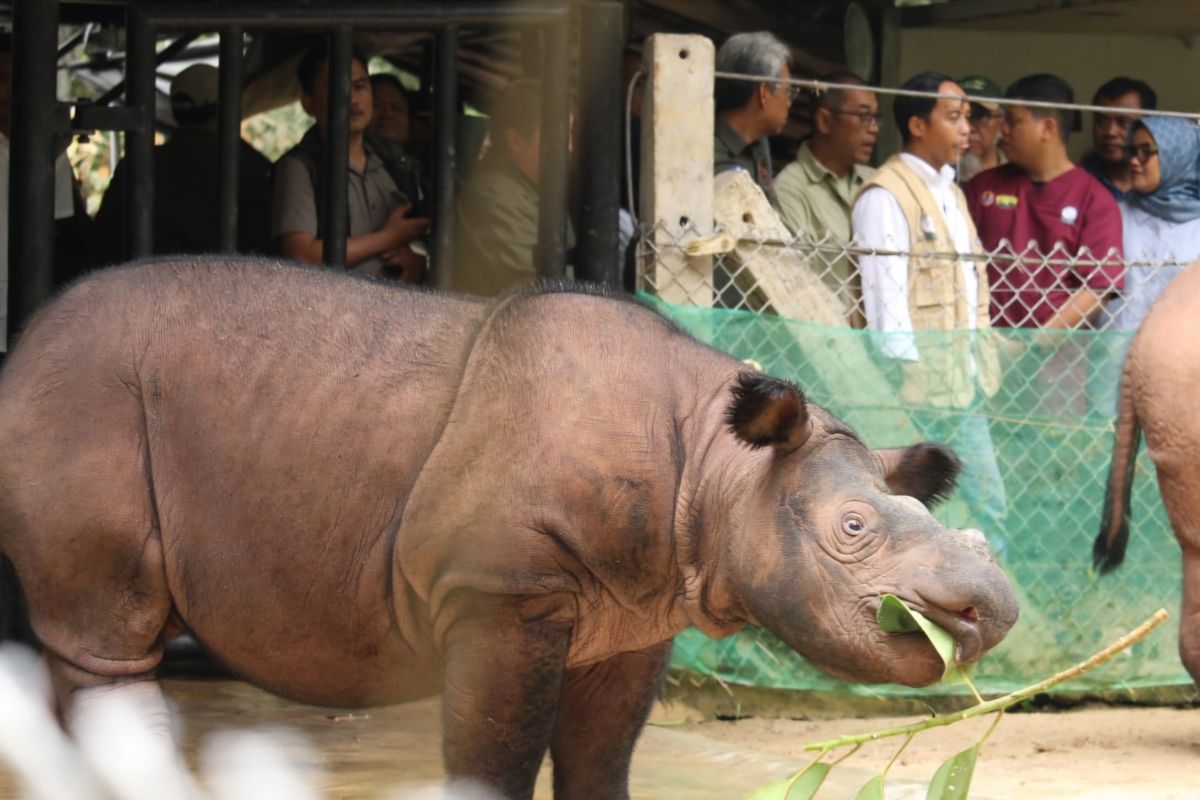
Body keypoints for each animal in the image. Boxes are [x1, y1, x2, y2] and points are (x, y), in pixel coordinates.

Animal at [0, 261, 1017, 800]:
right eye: (853, 527)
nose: (990, 612)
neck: (717, 469)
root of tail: (23, 344)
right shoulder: (500, 593)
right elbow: (497, 754)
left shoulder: (636, 610)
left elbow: (601, 760)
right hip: (88, 393)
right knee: (108, 637)